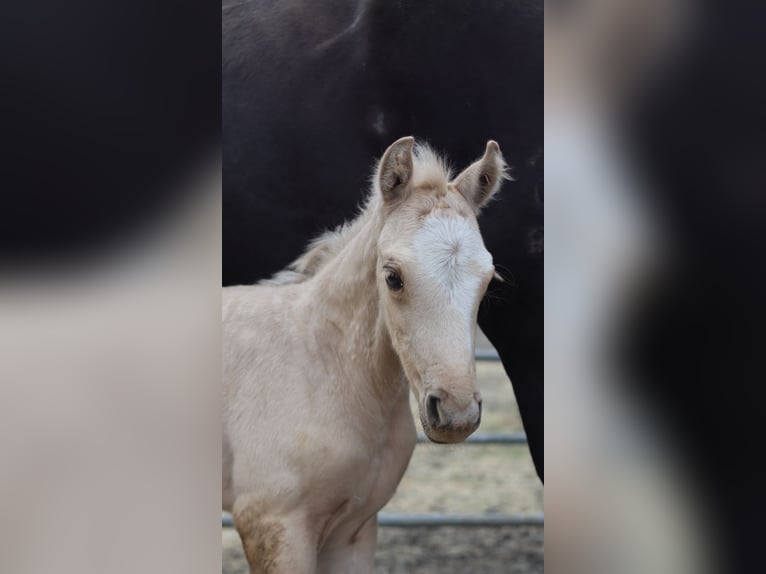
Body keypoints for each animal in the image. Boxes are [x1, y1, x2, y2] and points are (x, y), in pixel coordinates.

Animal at [222, 137, 510, 572]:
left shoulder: (353, 531)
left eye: (489, 279)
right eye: (392, 277)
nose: (456, 414)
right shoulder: (272, 523)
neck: (322, 363)